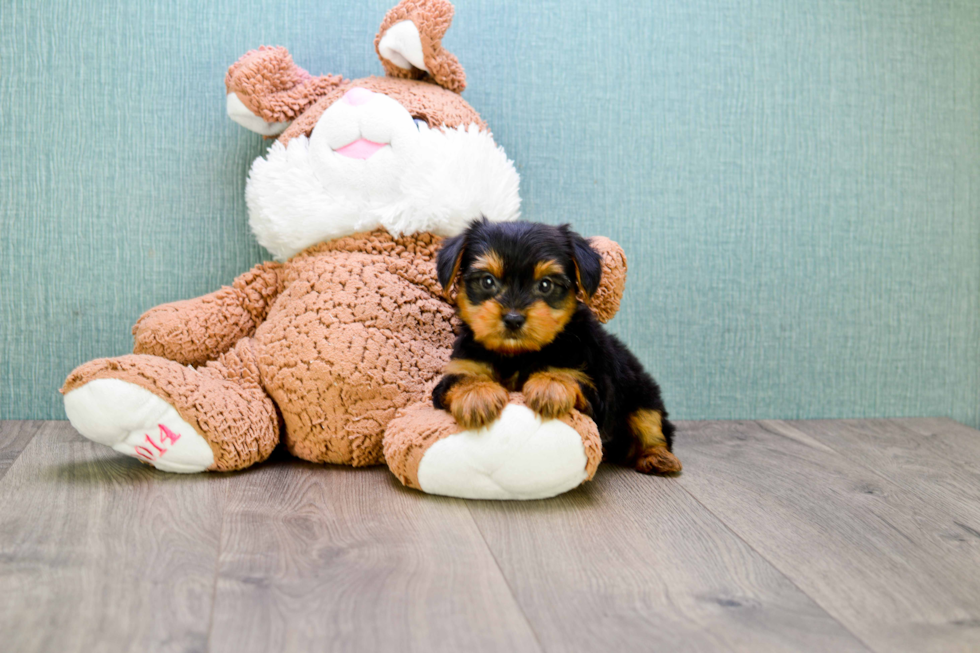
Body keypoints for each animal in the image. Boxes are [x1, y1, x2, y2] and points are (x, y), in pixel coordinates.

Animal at [432, 218, 684, 474]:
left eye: (545, 285)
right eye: (487, 281)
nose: (513, 319)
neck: (517, 354)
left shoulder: (593, 388)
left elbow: (568, 376)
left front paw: (550, 385)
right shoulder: (461, 368)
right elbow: (463, 378)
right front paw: (476, 394)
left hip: (642, 394)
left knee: (651, 424)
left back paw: (657, 457)